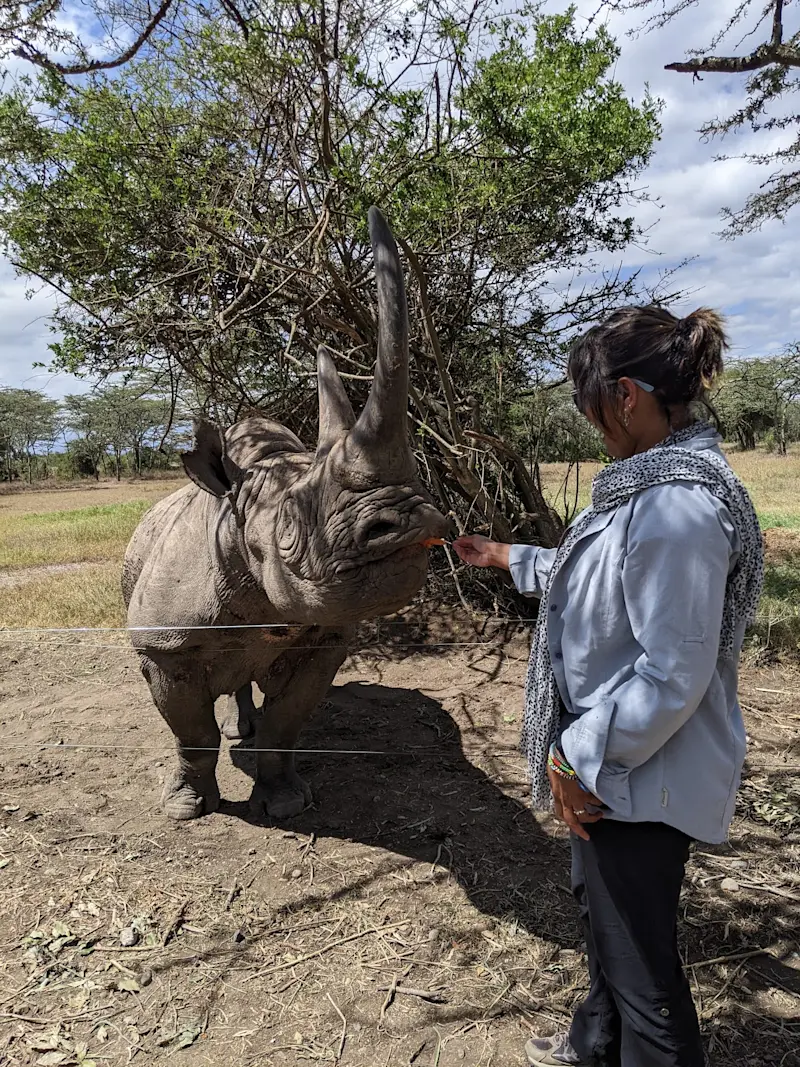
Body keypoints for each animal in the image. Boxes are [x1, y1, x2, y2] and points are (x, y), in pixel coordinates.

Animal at [123, 208, 449, 822]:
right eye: (291, 529)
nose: (414, 524)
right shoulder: (163, 645)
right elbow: (191, 734)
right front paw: (186, 808)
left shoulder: (325, 638)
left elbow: (285, 726)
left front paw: (288, 803)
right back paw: (233, 735)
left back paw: (243, 731)